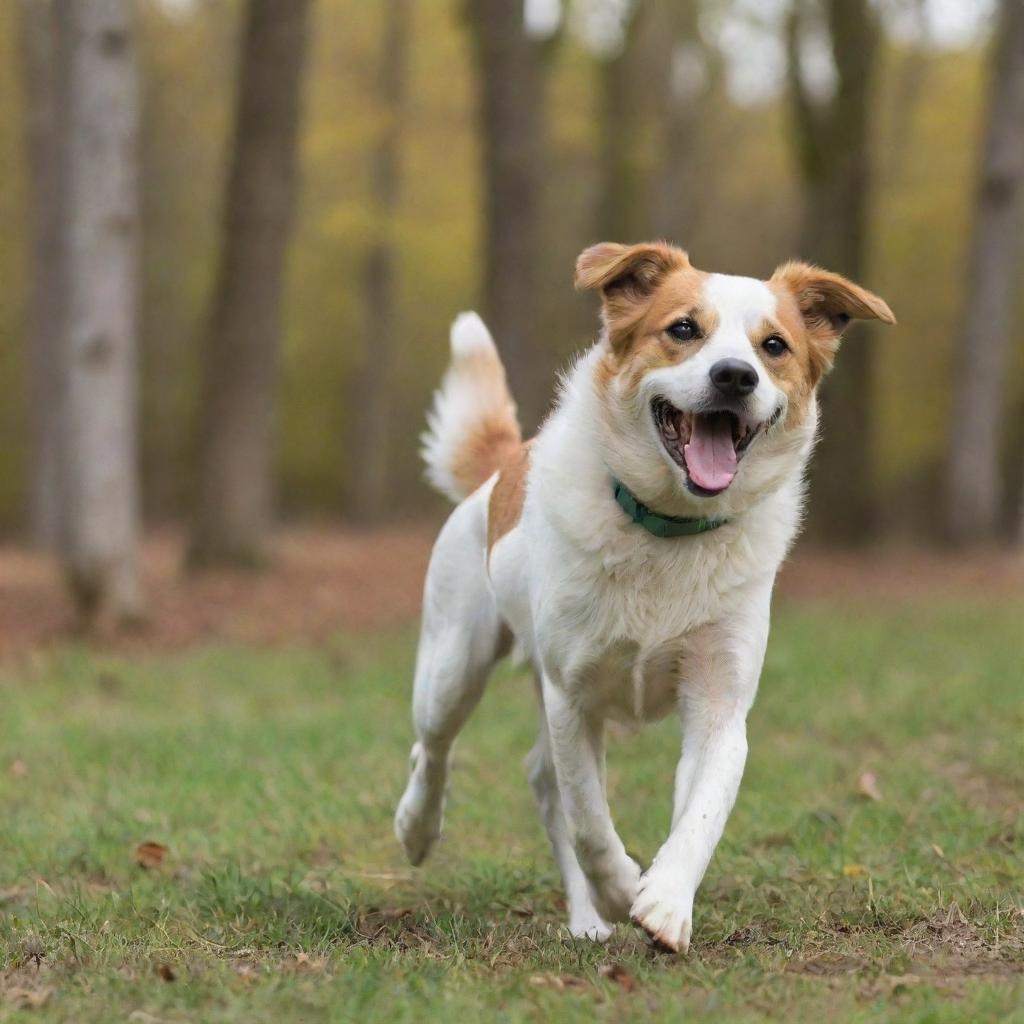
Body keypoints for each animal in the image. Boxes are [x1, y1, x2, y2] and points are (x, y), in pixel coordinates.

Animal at [395, 239, 892, 950]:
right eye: (683, 329)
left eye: (773, 345)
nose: (735, 376)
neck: (669, 527)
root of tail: (500, 470)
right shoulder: (571, 694)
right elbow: (589, 820)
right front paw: (621, 885)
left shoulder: (720, 704)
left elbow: (702, 814)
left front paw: (664, 903)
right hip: (452, 666)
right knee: (437, 750)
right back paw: (420, 828)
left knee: (540, 778)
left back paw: (586, 921)